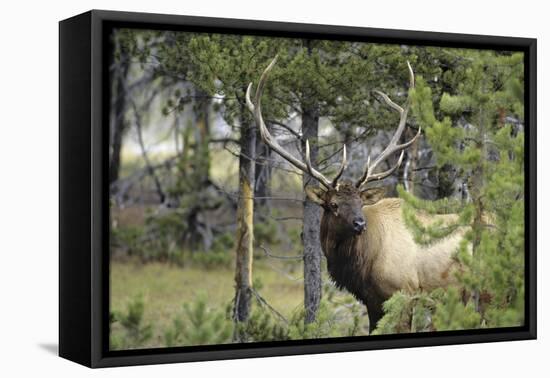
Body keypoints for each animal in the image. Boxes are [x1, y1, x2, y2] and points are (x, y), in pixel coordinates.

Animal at [246, 56, 466, 330]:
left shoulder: (405, 293)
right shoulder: (372, 301)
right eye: (333, 205)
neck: (363, 265)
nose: (360, 223)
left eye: (361, 203)